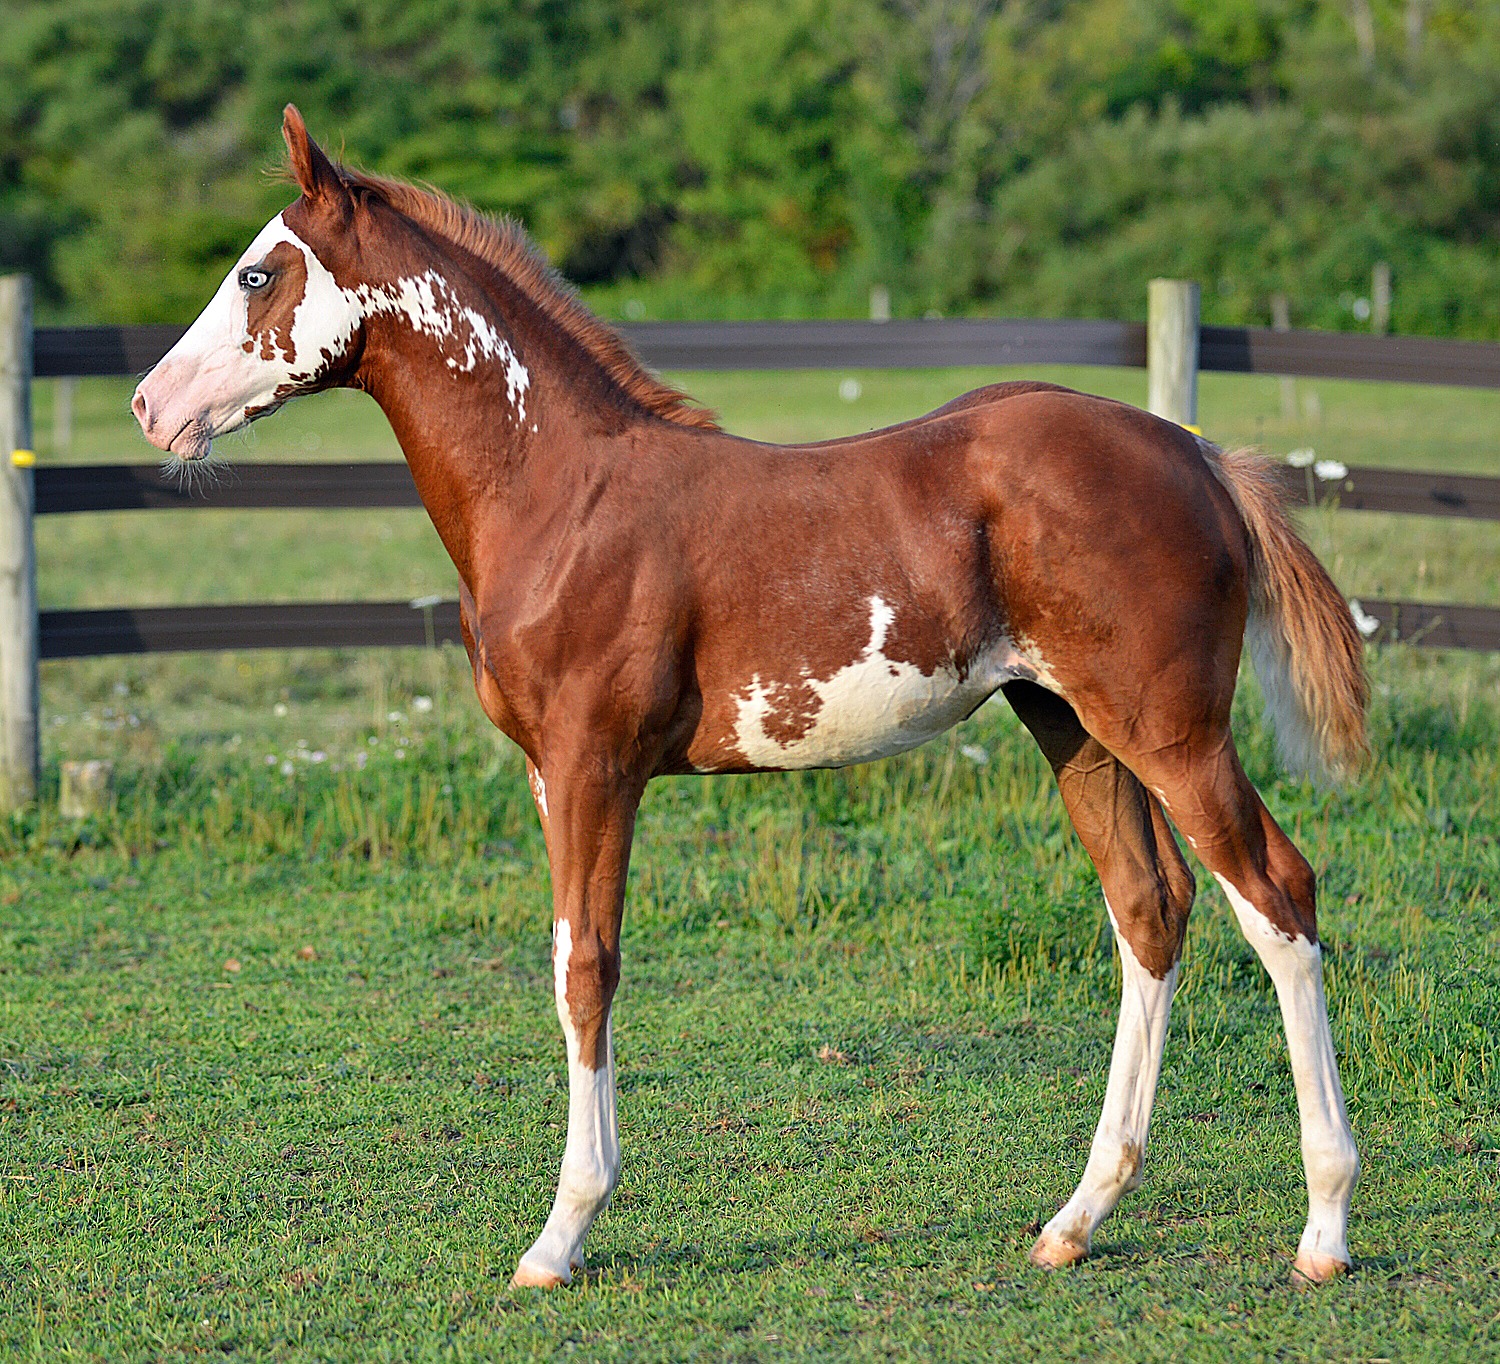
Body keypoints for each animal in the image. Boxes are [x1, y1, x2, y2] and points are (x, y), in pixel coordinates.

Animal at [135, 108, 1368, 1290]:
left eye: (257, 274)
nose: (150, 406)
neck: (559, 490)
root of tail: (1201, 459)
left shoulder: (593, 763)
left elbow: (586, 968)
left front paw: (560, 1236)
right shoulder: (547, 771)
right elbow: (573, 958)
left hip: (1171, 728)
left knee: (1278, 896)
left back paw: (1323, 1226)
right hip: (1076, 728)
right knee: (1149, 910)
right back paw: (1075, 1221)